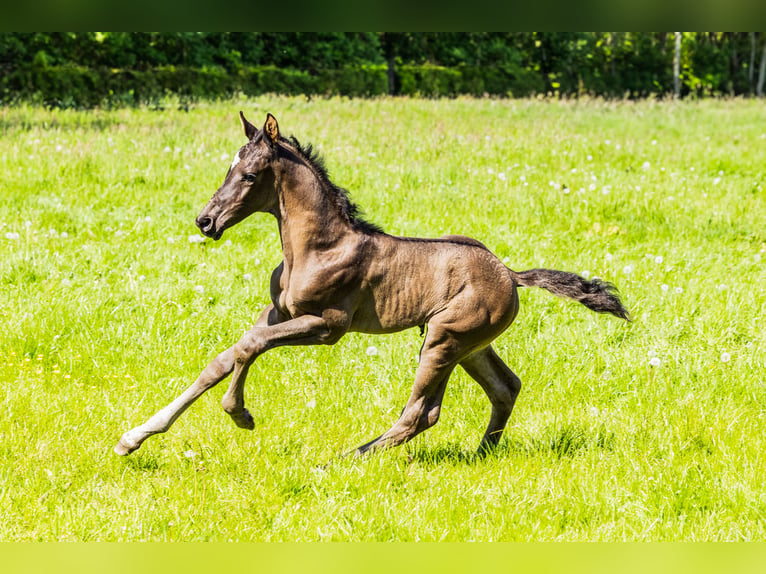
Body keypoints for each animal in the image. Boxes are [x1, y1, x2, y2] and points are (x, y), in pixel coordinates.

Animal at [114, 113, 632, 460]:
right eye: (228, 170)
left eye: (250, 174)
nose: (205, 221)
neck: (317, 246)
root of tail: (510, 273)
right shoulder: (279, 313)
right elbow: (224, 358)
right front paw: (134, 437)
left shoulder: (328, 326)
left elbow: (249, 347)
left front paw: (240, 414)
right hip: (469, 344)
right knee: (504, 388)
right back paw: (480, 453)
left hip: (443, 339)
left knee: (421, 412)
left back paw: (347, 458)